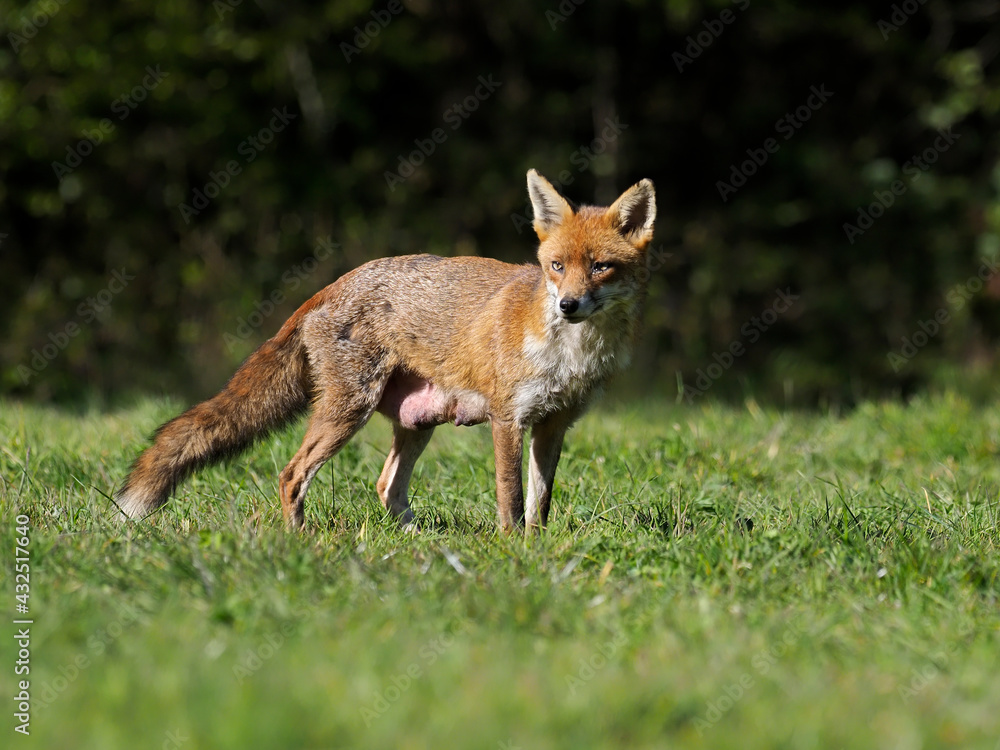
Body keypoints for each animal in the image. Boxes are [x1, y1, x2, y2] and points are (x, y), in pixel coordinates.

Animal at [116, 170, 656, 532]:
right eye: (557, 266)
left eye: (601, 267)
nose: (567, 305)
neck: (571, 357)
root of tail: (335, 284)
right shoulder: (509, 419)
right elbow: (510, 500)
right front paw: (511, 553)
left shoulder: (554, 425)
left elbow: (539, 504)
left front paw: (536, 552)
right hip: (348, 411)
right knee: (291, 475)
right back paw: (300, 541)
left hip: (417, 422)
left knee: (386, 487)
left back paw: (419, 545)